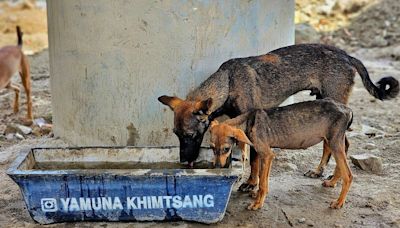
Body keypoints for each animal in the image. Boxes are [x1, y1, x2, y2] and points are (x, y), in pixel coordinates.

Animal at [158, 43, 398, 182]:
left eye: (190, 135)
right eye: (176, 134)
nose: (183, 161)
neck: (228, 82)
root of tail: (347, 55)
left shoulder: (251, 126)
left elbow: (254, 161)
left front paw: (250, 185)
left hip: (333, 105)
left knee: (341, 145)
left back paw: (331, 177)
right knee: (331, 145)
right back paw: (321, 172)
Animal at [209, 98, 354, 210]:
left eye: (226, 149)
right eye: (211, 148)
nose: (217, 167)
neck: (249, 121)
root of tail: (347, 109)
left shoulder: (267, 155)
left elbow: (262, 183)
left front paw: (257, 204)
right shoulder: (265, 156)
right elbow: (263, 178)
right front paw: (257, 195)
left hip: (334, 143)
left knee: (348, 175)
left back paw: (339, 202)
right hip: (334, 142)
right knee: (342, 165)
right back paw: (332, 182)